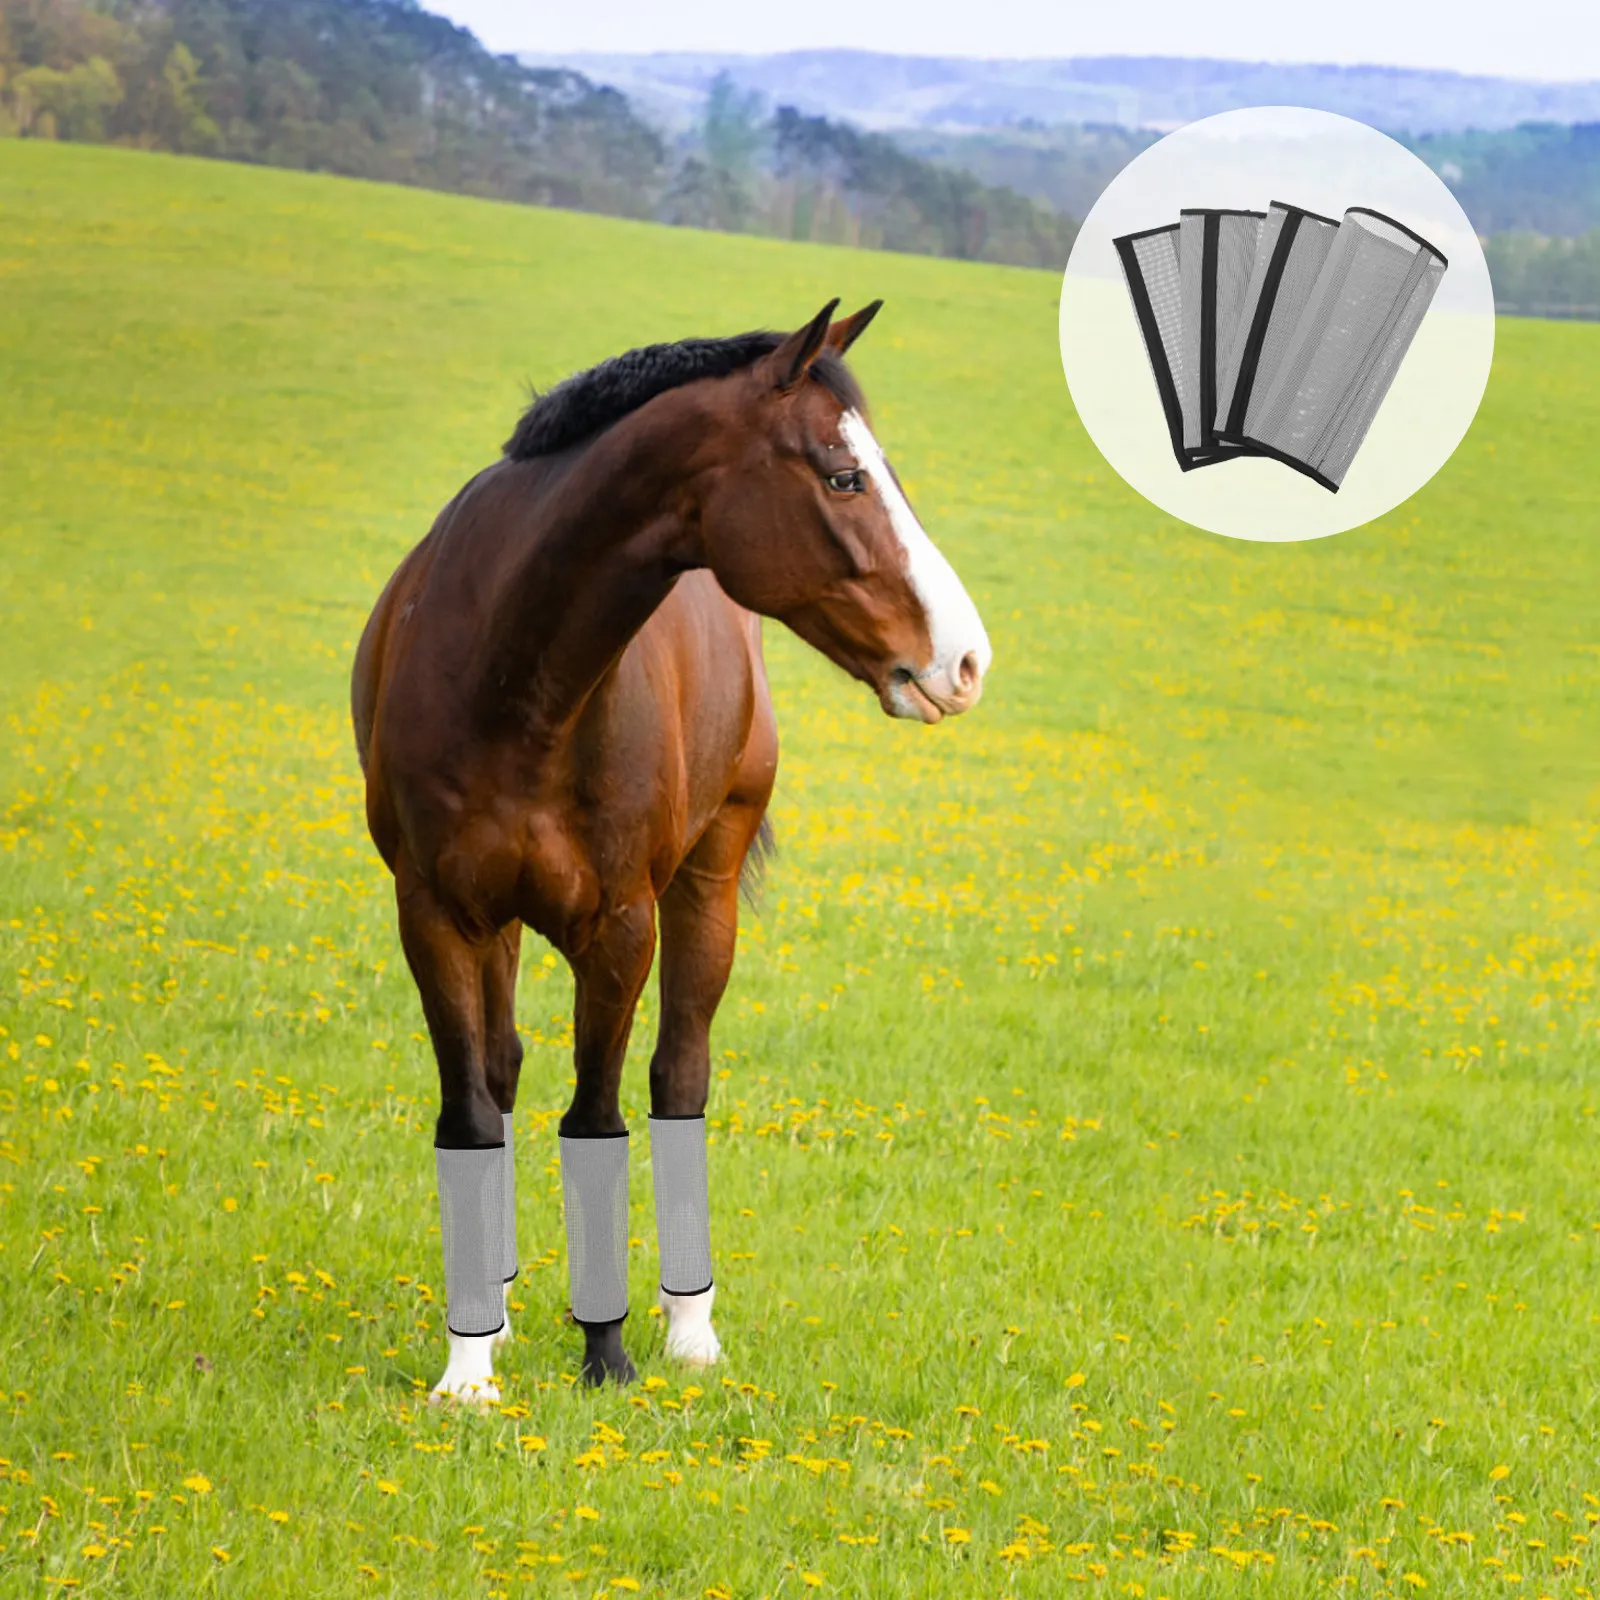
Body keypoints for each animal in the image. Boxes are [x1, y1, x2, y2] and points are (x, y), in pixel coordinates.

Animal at [351, 299, 991, 1400]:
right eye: (843, 476)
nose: (966, 659)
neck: (513, 680)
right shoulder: (434, 915)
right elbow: (472, 1110)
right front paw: (469, 1367)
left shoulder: (620, 928)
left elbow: (600, 1118)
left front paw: (604, 1351)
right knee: (507, 1070)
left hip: (709, 888)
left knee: (679, 1078)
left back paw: (691, 1329)